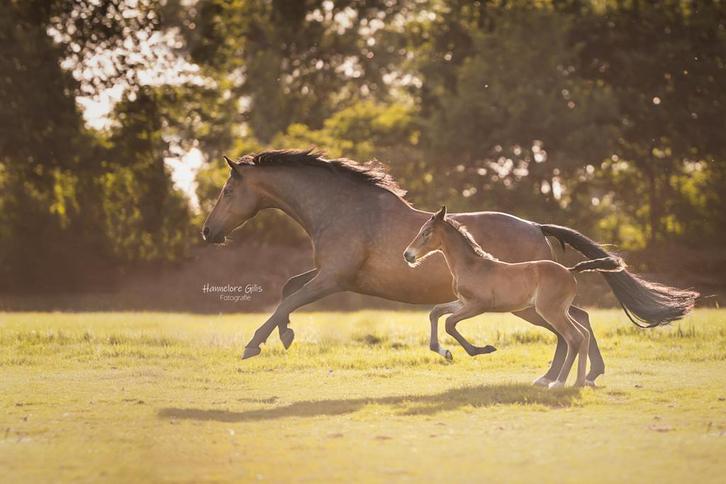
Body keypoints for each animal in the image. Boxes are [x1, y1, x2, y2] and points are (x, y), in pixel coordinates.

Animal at [404, 206, 625, 388]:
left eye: (426, 232)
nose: (408, 255)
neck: (471, 266)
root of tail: (570, 271)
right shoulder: (463, 302)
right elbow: (436, 312)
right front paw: (444, 352)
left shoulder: (479, 305)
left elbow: (449, 323)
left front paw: (482, 349)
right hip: (560, 311)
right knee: (583, 333)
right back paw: (578, 382)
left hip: (549, 311)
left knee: (574, 337)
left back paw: (559, 383)